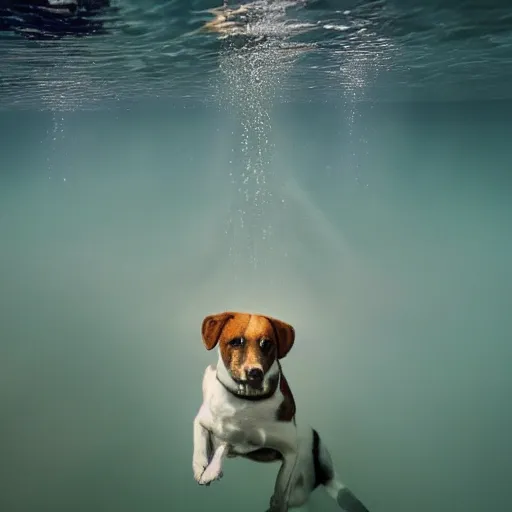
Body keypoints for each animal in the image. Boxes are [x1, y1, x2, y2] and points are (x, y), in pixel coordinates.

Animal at [190, 312, 370, 512]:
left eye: (266, 344)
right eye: (236, 342)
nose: (255, 373)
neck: (246, 402)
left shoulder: (290, 451)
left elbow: (281, 491)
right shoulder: (203, 421)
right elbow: (203, 443)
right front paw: (202, 468)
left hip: (301, 482)